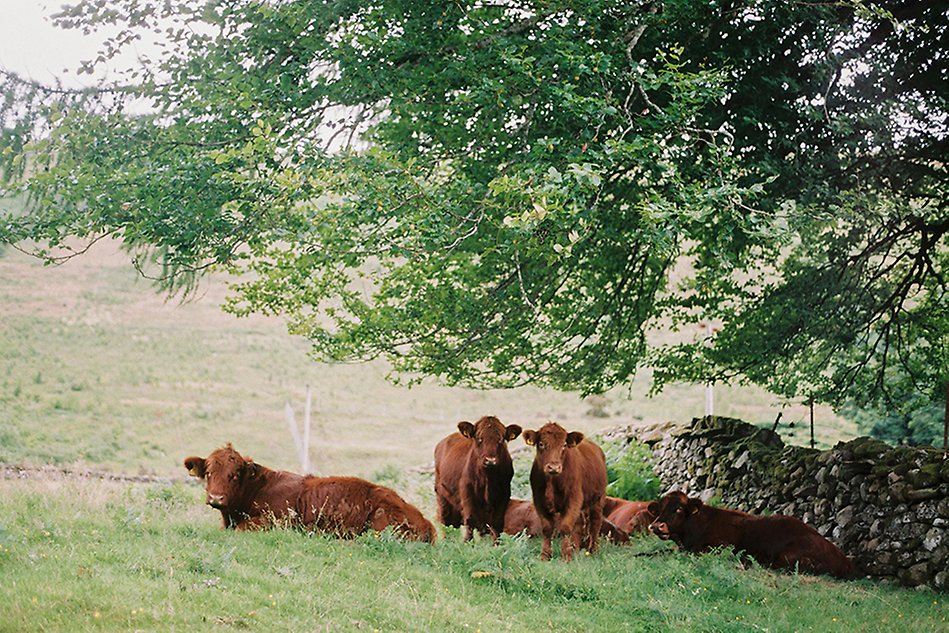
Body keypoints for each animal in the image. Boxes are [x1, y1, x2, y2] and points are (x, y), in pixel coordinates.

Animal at [520, 422, 608, 560]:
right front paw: (545, 555)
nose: (554, 467)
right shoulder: (539, 501)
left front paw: (566, 556)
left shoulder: (573, 498)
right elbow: (547, 528)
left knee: (595, 522)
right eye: (541, 444)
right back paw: (576, 549)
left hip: (598, 498)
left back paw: (593, 550)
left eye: (564, 445)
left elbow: (565, 527)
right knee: (579, 523)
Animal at [648, 488, 856, 576]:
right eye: (660, 509)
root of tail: (845, 561)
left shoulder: (716, 548)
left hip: (791, 556)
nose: (657, 526)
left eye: (678, 509)